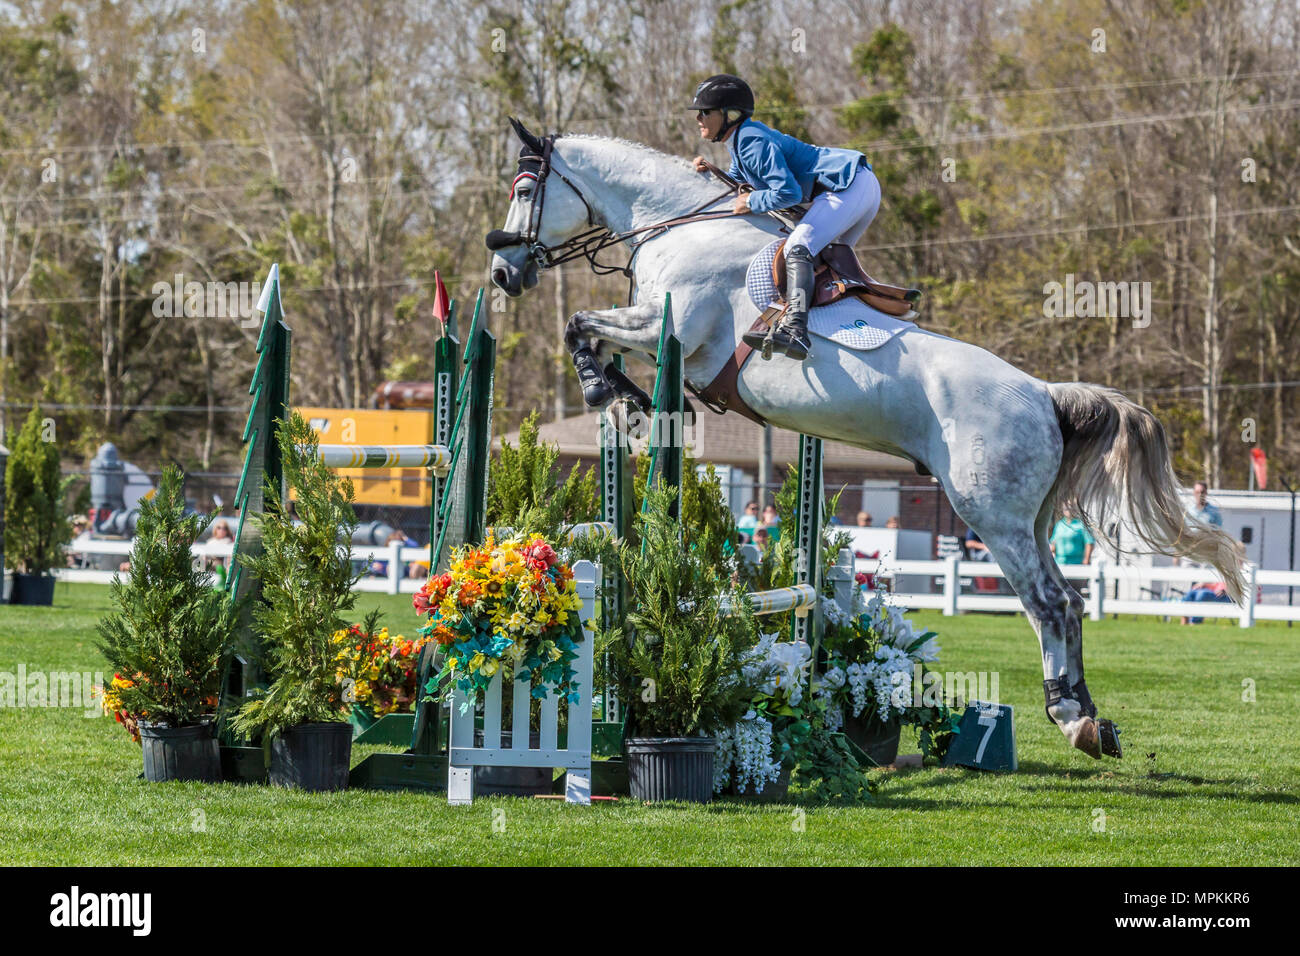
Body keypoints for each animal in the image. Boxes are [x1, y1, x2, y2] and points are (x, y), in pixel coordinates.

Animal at [488, 121, 1248, 764]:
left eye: (524, 190)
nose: (504, 274)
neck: (678, 224)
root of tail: (1043, 395)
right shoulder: (656, 330)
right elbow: (590, 332)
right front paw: (625, 397)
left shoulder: (665, 327)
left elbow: (582, 326)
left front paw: (610, 393)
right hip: (1029, 518)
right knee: (1071, 601)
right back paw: (1093, 719)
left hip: (991, 516)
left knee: (1049, 605)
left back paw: (1071, 719)